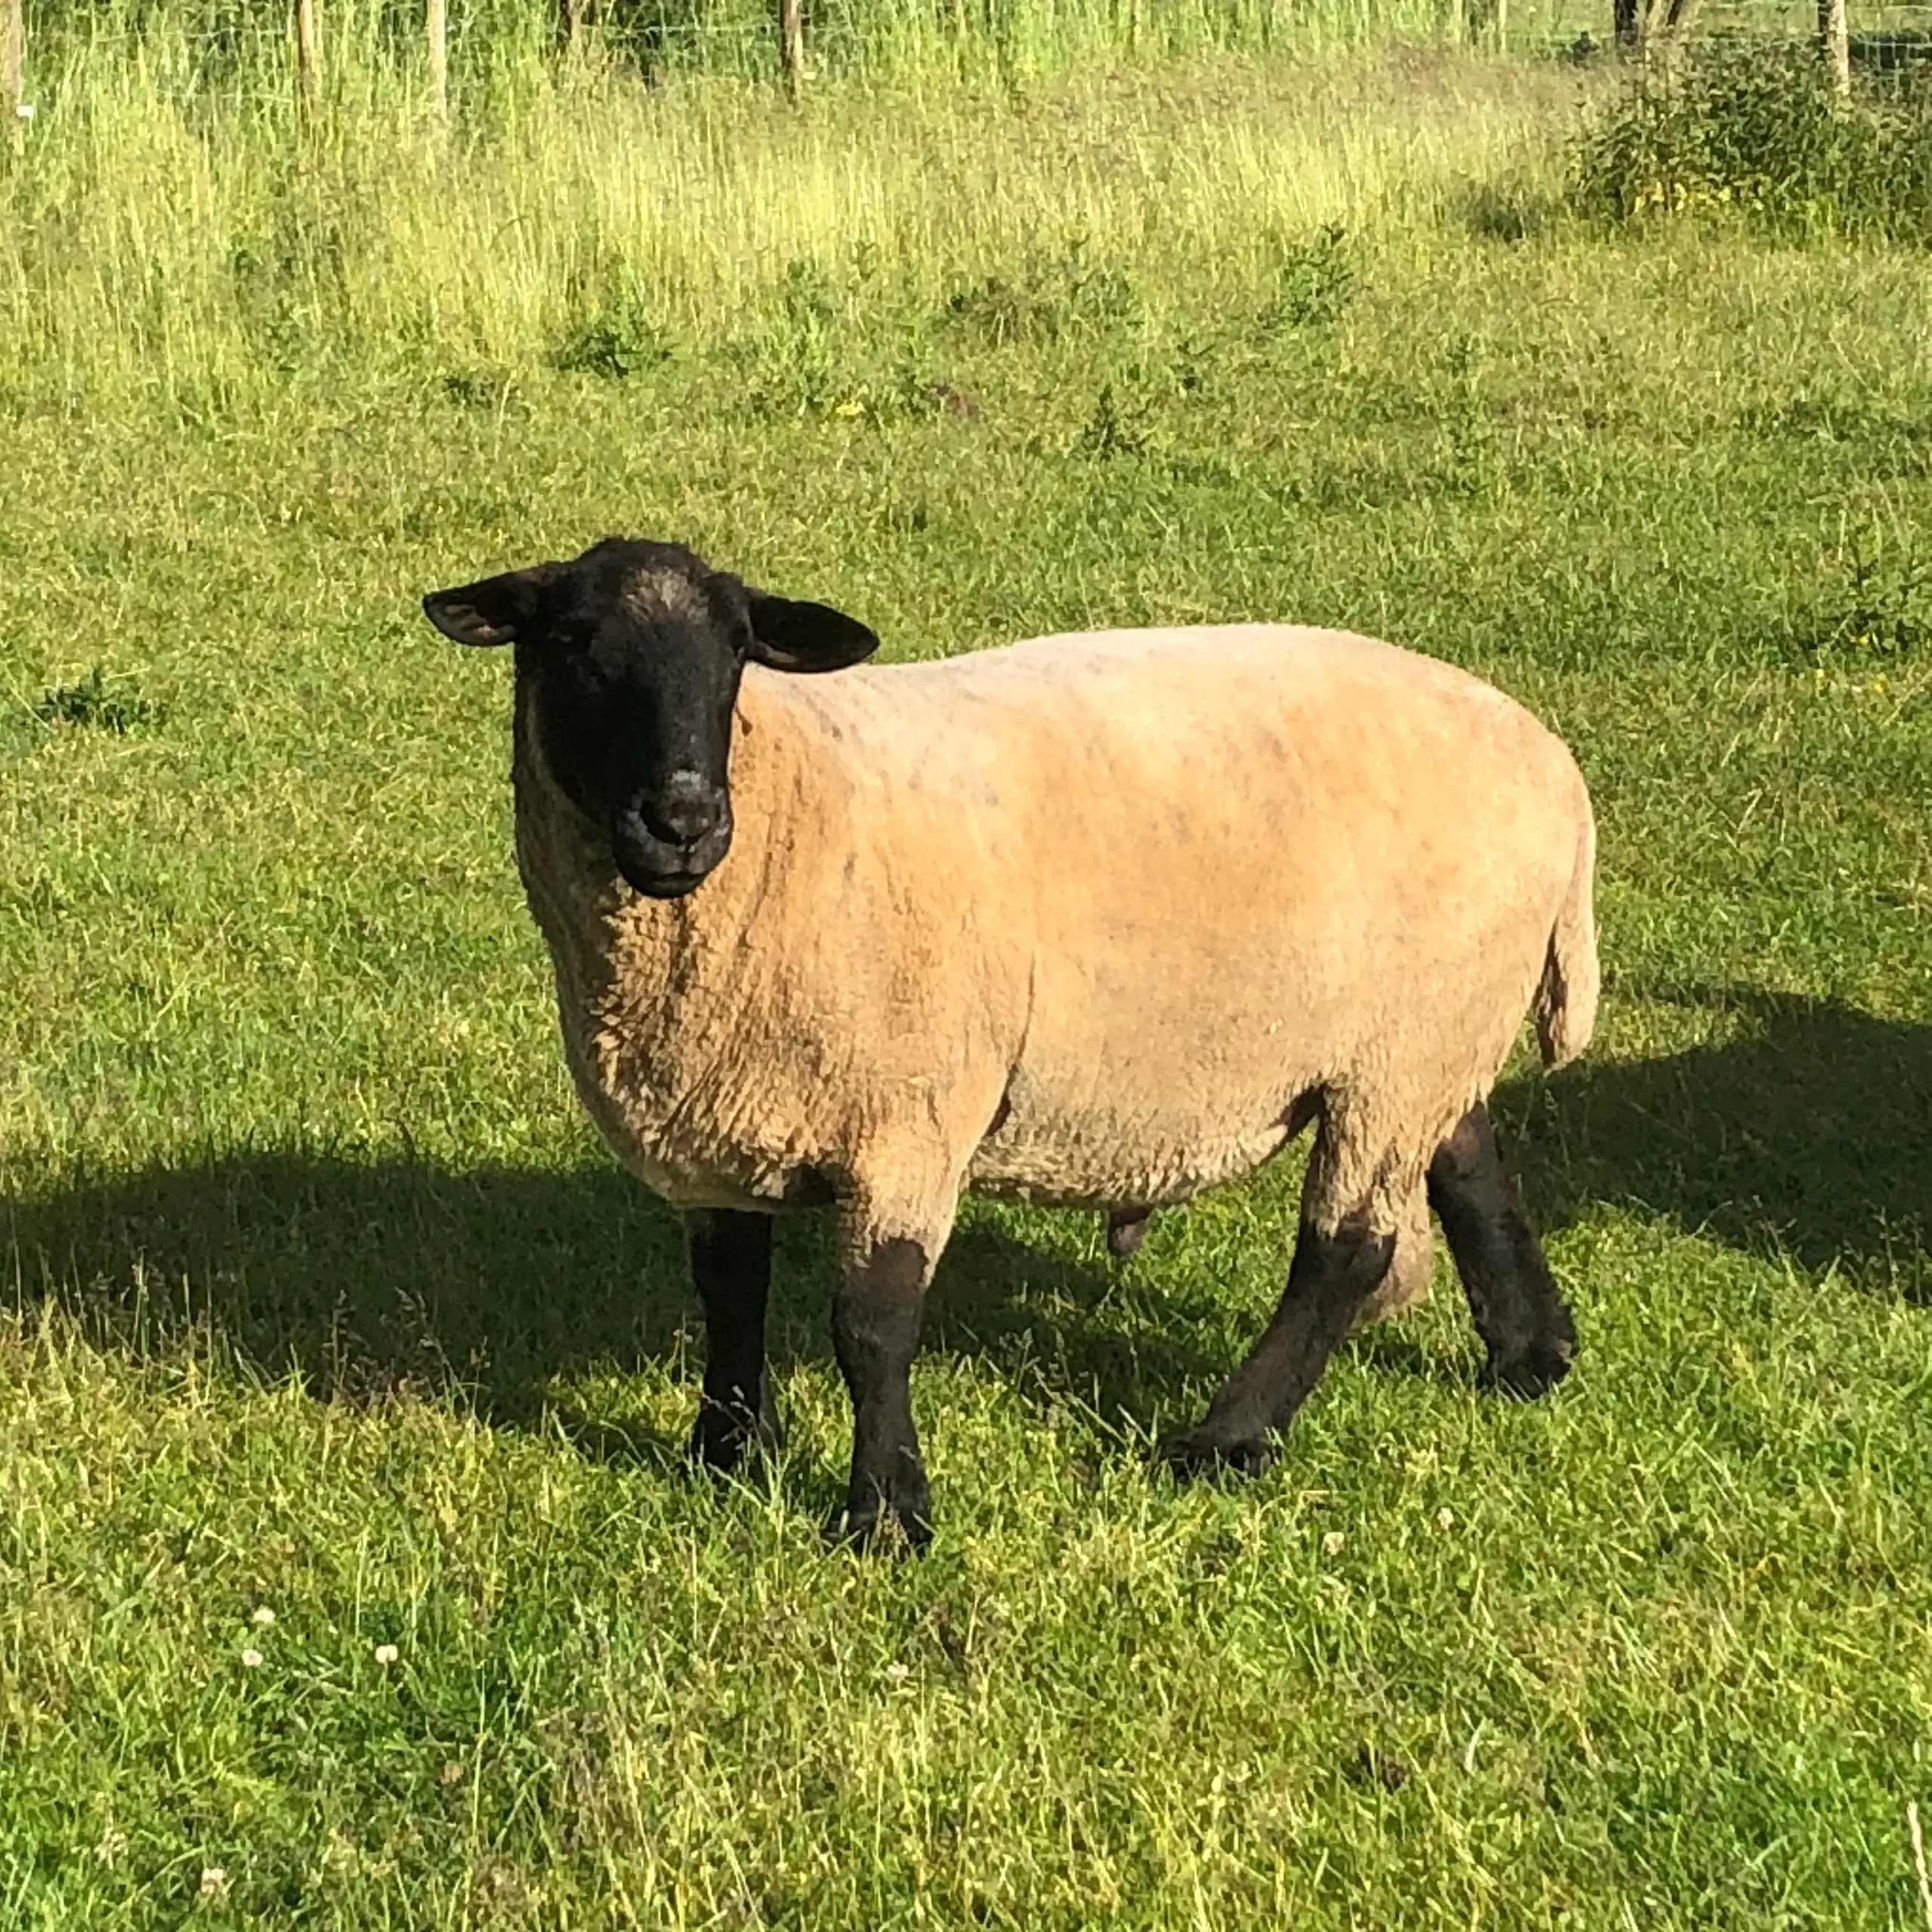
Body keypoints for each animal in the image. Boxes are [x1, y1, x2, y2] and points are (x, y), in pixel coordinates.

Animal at [423, 537, 1599, 1546]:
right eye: (571, 642)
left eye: (738, 650)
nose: (683, 820)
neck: (789, 804)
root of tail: (1556, 766)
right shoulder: (724, 1119)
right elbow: (726, 1291)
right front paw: (724, 1454)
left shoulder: (907, 1118)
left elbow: (872, 1325)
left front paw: (886, 1515)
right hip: (1427, 1027)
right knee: (1468, 1163)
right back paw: (1531, 1356)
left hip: (1402, 1046)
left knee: (1348, 1250)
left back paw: (1224, 1438)